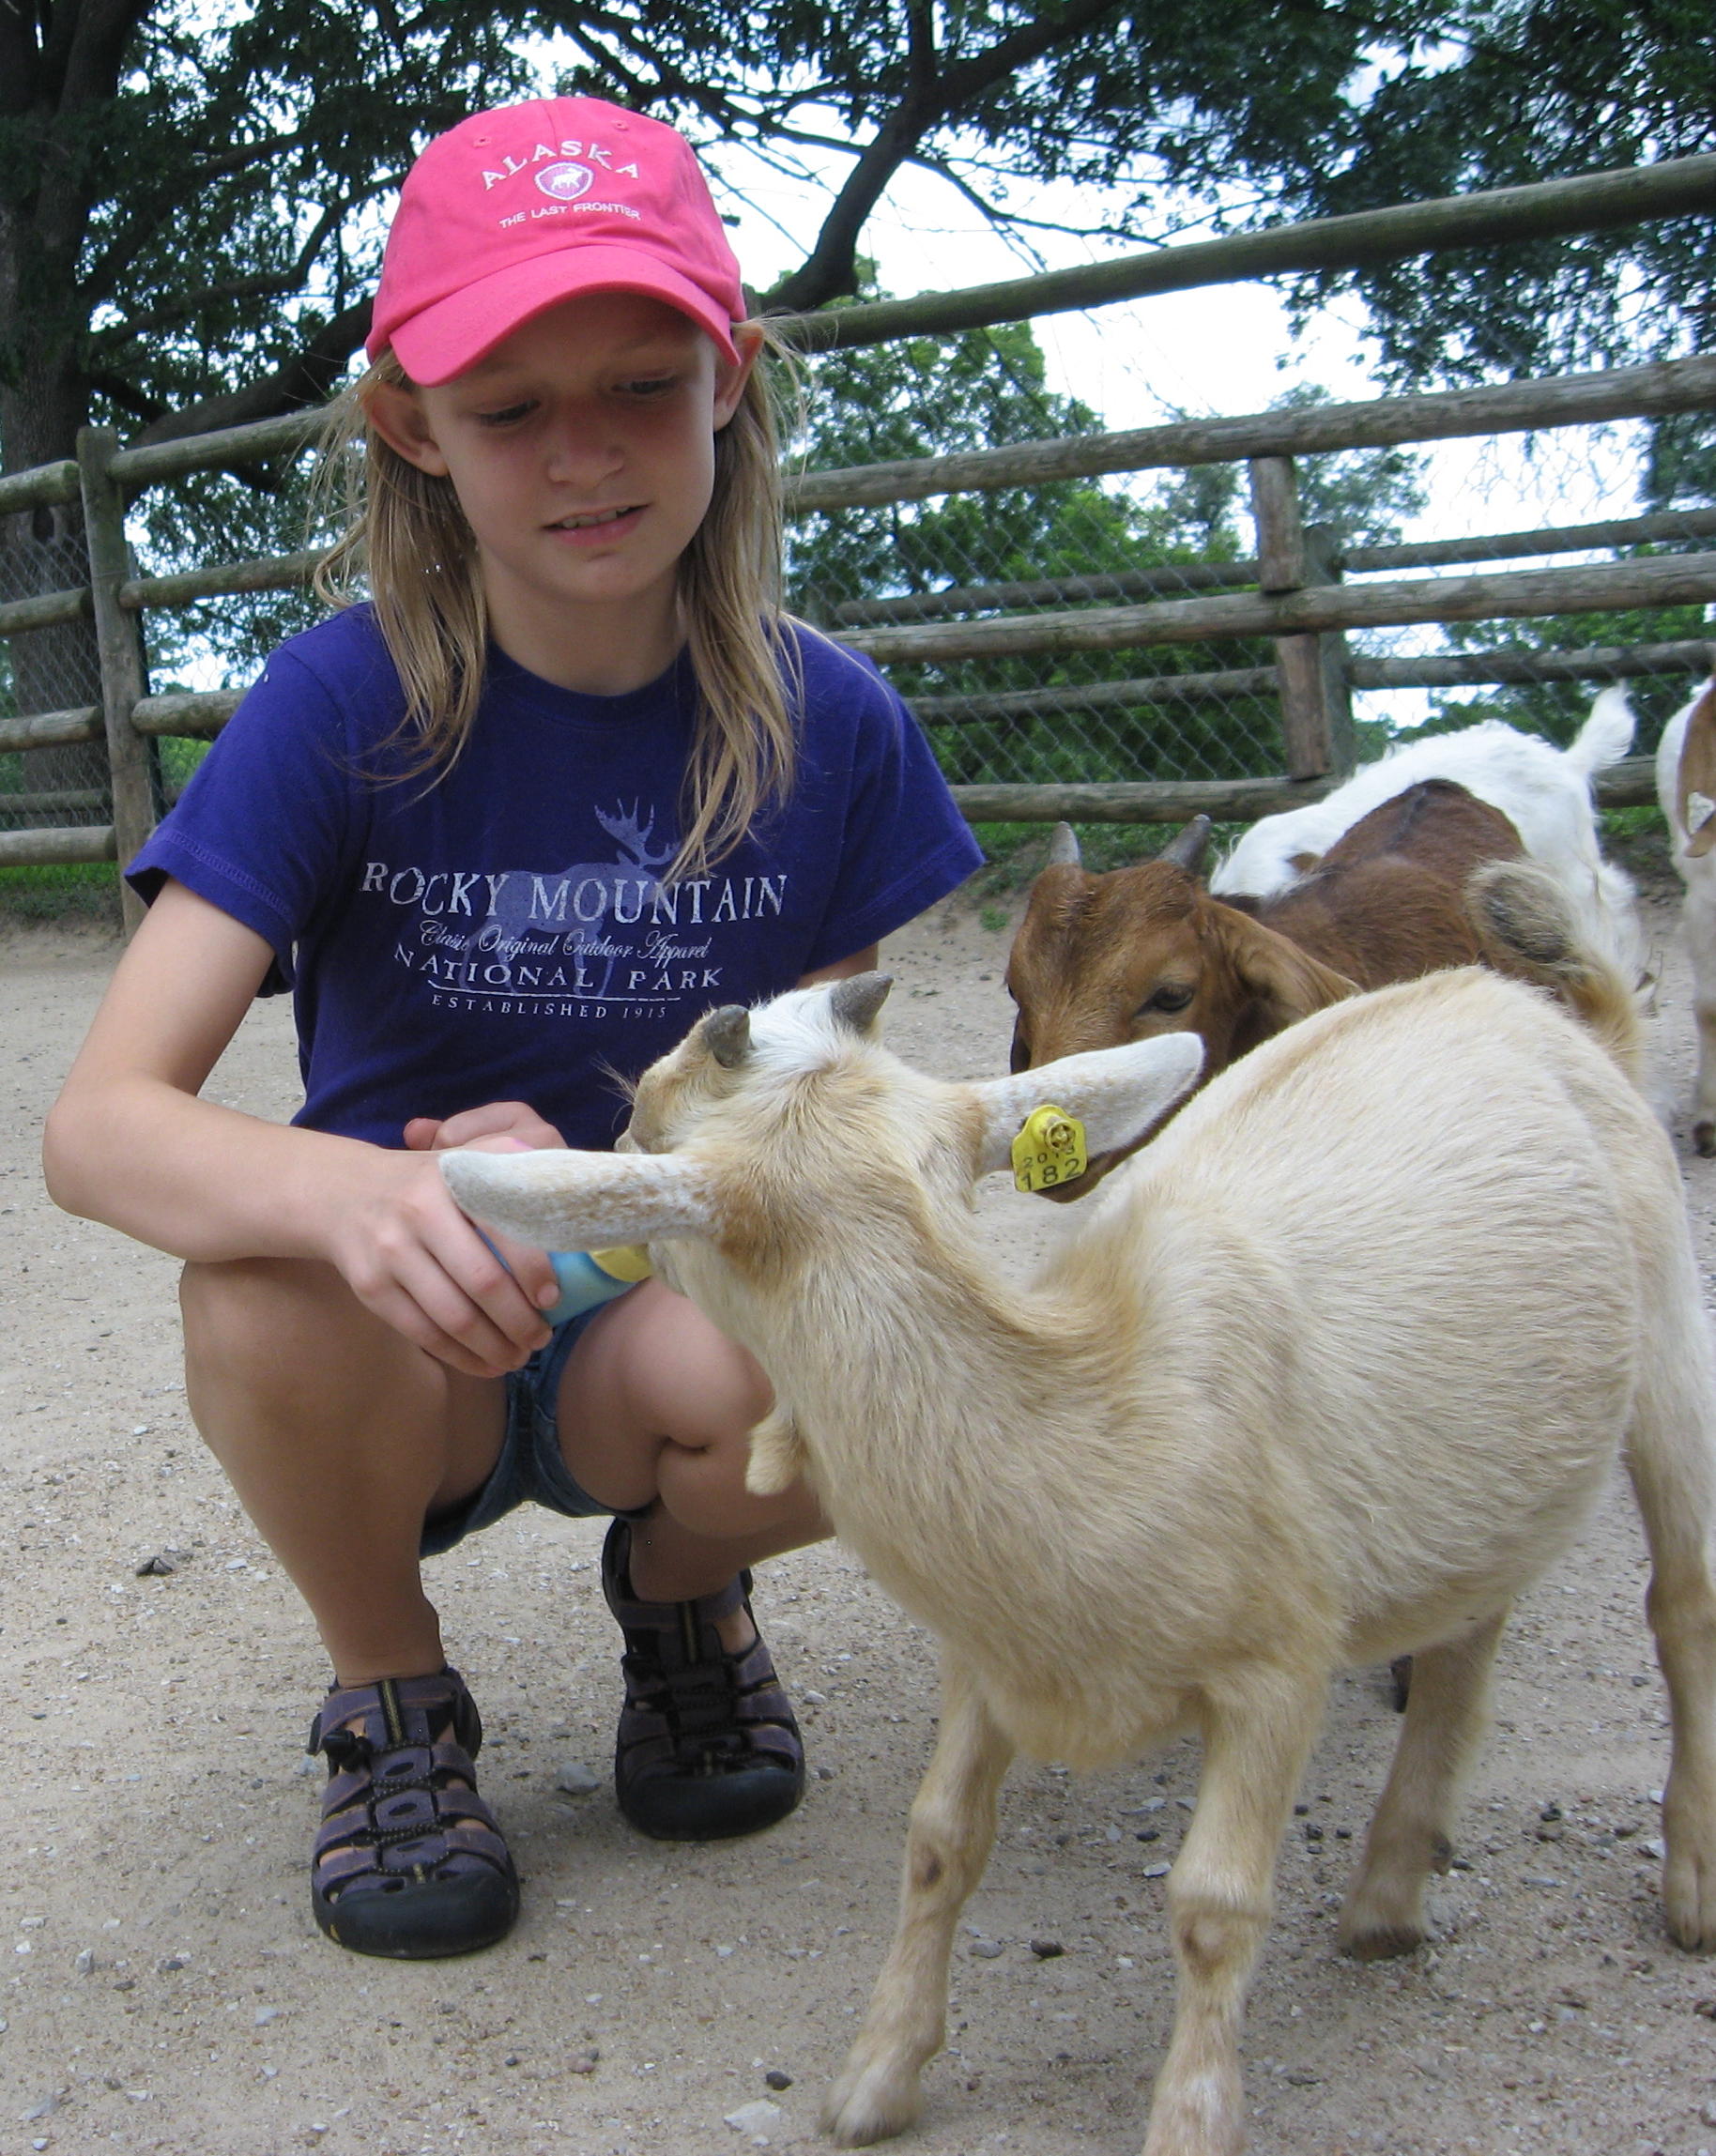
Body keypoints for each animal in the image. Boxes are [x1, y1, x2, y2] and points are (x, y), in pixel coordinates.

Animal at [442, 870, 1716, 2156]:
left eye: (648, 1129)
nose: (606, 1157)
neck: (1097, 1418)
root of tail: (1555, 1012)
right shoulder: (988, 1646)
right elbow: (939, 1838)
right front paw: (875, 2079)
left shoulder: (1279, 1667)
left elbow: (1213, 1902)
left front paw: (1191, 2119)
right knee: (1469, 1626)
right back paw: (1386, 1897)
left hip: (1667, 1336)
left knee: (1681, 1601)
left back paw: (1688, 1888)